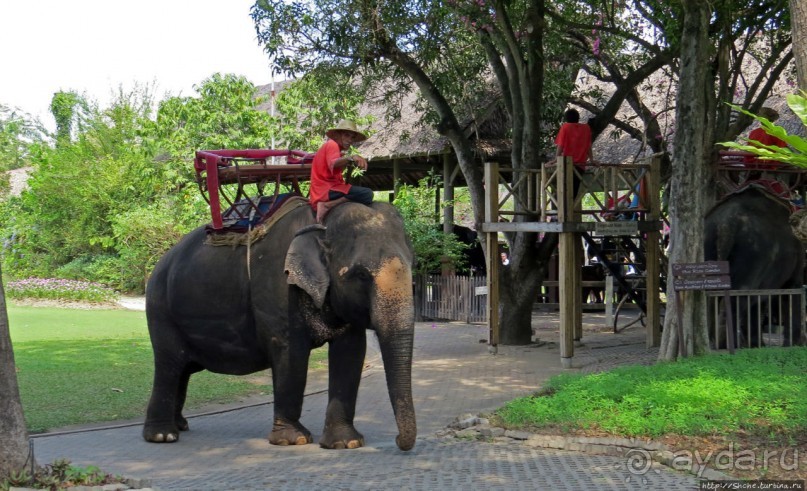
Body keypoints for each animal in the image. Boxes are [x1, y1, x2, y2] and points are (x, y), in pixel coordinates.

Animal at [142, 202, 416, 452]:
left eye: (412, 268)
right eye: (360, 275)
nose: (398, 441)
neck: (321, 223)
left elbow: (350, 352)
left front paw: (345, 443)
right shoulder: (279, 288)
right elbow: (290, 352)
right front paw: (292, 440)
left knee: (184, 370)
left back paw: (180, 425)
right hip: (159, 310)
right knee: (169, 365)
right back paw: (162, 436)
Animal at [704, 186, 804, 348]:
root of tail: (726, 223)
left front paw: (756, 344)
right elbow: (792, 289)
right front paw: (793, 344)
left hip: (707, 244)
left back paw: (715, 343)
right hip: (750, 253)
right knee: (737, 296)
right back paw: (728, 344)